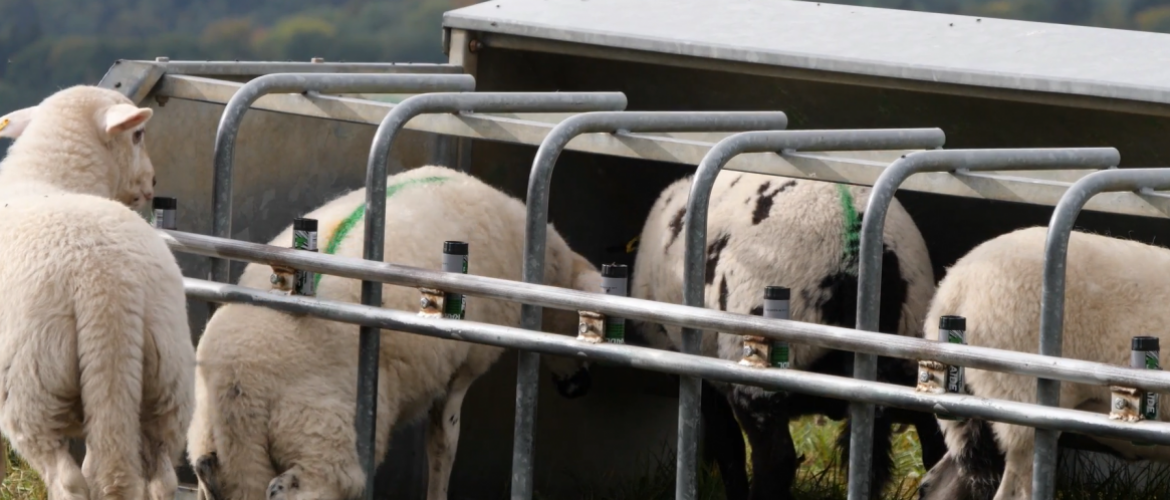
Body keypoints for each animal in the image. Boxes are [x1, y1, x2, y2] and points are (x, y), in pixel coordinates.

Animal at [0, 86, 194, 500]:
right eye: (138, 135)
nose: (152, 181)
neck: (49, 177)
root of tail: (105, 282)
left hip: (31, 387)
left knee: (67, 478)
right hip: (167, 378)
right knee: (160, 474)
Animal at [188, 165, 603, 500]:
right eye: (582, 329)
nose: (579, 387)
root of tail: (238, 389)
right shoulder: (464, 363)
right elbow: (444, 440)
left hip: (216, 446)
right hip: (321, 434)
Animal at [631, 170, 950, 500]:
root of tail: (855, 253)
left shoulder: (700, 375)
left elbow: (728, 446)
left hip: (758, 364)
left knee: (775, 459)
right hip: (914, 360)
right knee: (936, 450)